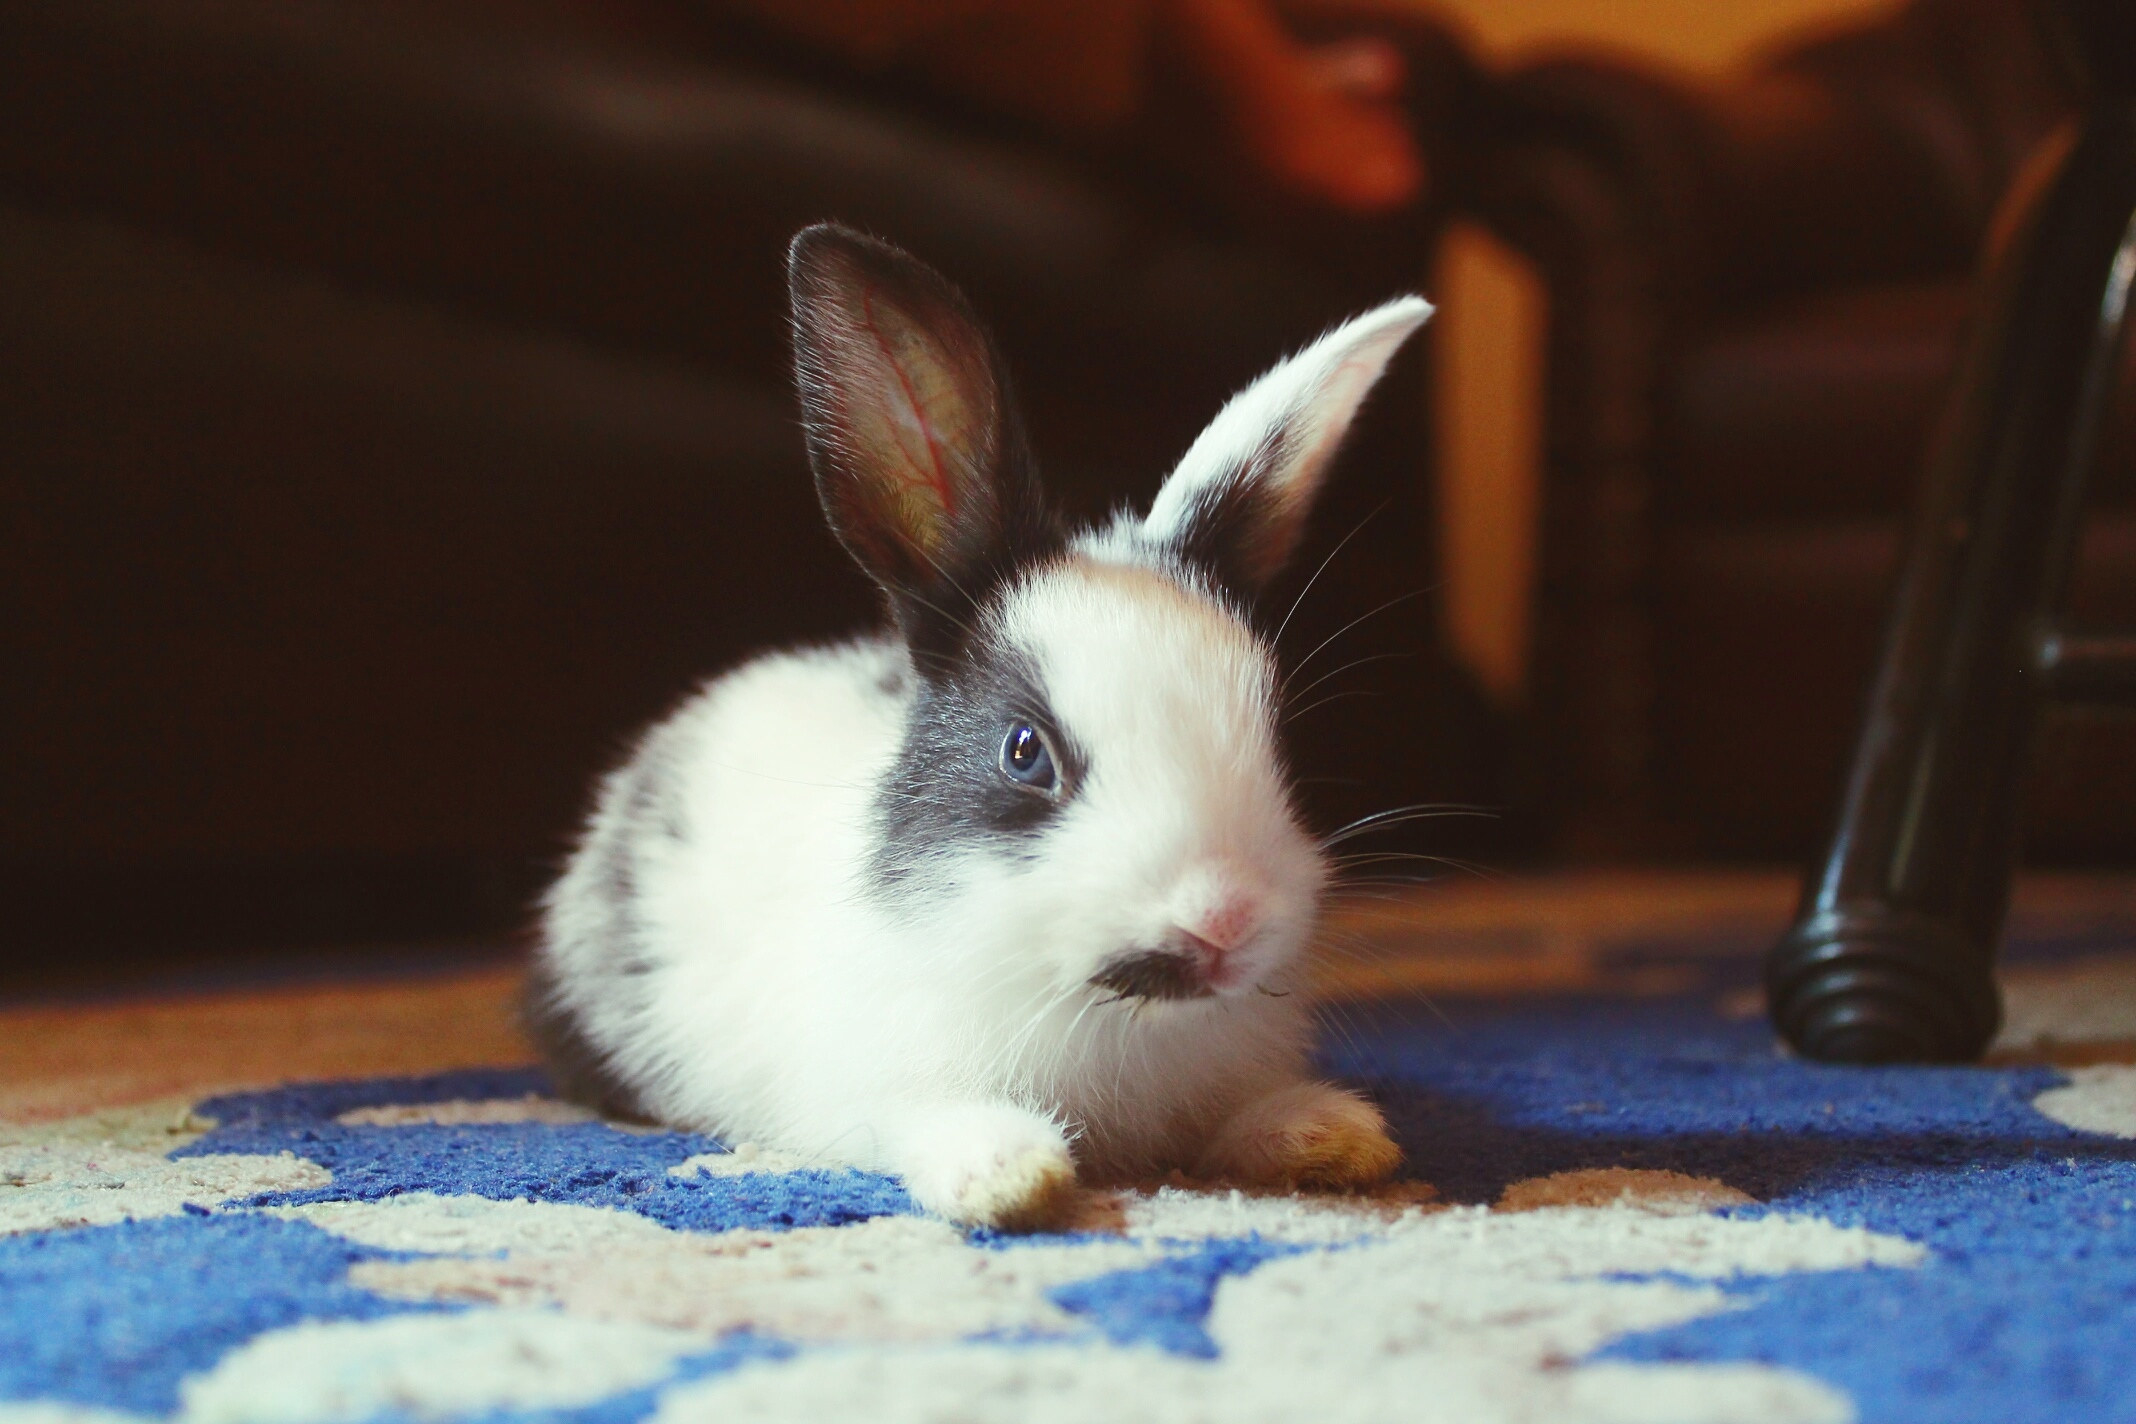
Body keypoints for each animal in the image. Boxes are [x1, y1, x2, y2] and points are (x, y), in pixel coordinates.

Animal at [531, 225, 1435, 1238]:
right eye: (1024, 752)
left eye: (1273, 736)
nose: (1223, 919)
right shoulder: (876, 1091)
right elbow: (925, 1123)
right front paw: (1011, 1173)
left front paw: (1331, 1137)